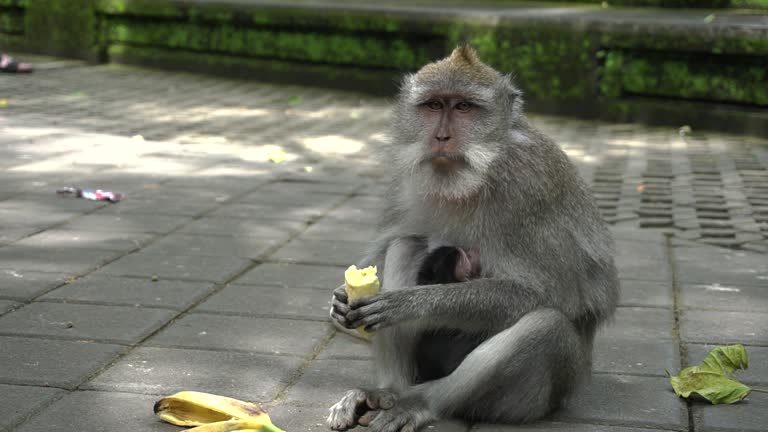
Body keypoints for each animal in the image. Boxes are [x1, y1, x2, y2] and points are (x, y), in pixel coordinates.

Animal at [328, 45, 618, 432]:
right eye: (435, 105)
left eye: (464, 107)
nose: (442, 138)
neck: (480, 170)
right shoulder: (407, 178)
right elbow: (391, 238)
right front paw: (341, 298)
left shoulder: (528, 186)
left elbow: (552, 295)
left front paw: (411, 304)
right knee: (405, 245)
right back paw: (386, 392)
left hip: (534, 400)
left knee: (547, 326)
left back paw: (419, 403)